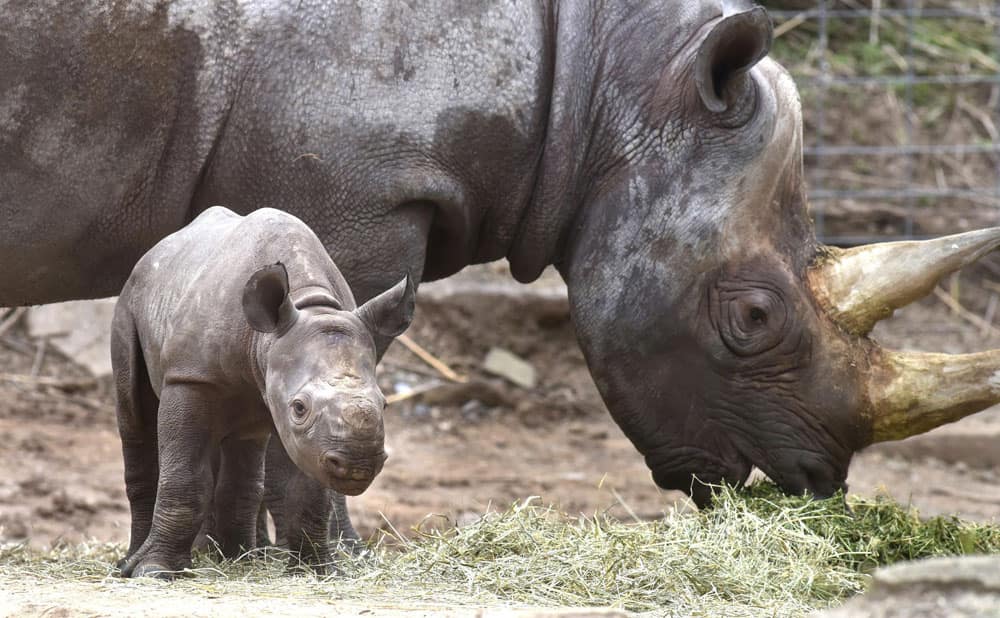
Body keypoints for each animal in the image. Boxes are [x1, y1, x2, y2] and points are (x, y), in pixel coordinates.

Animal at [112, 205, 414, 576]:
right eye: (299, 407)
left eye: (384, 404)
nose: (358, 465)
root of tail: (154, 251)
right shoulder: (190, 378)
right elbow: (184, 475)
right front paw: (155, 571)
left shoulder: (308, 431)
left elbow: (308, 486)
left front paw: (317, 570)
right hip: (130, 303)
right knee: (135, 417)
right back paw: (131, 560)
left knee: (246, 445)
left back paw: (240, 558)